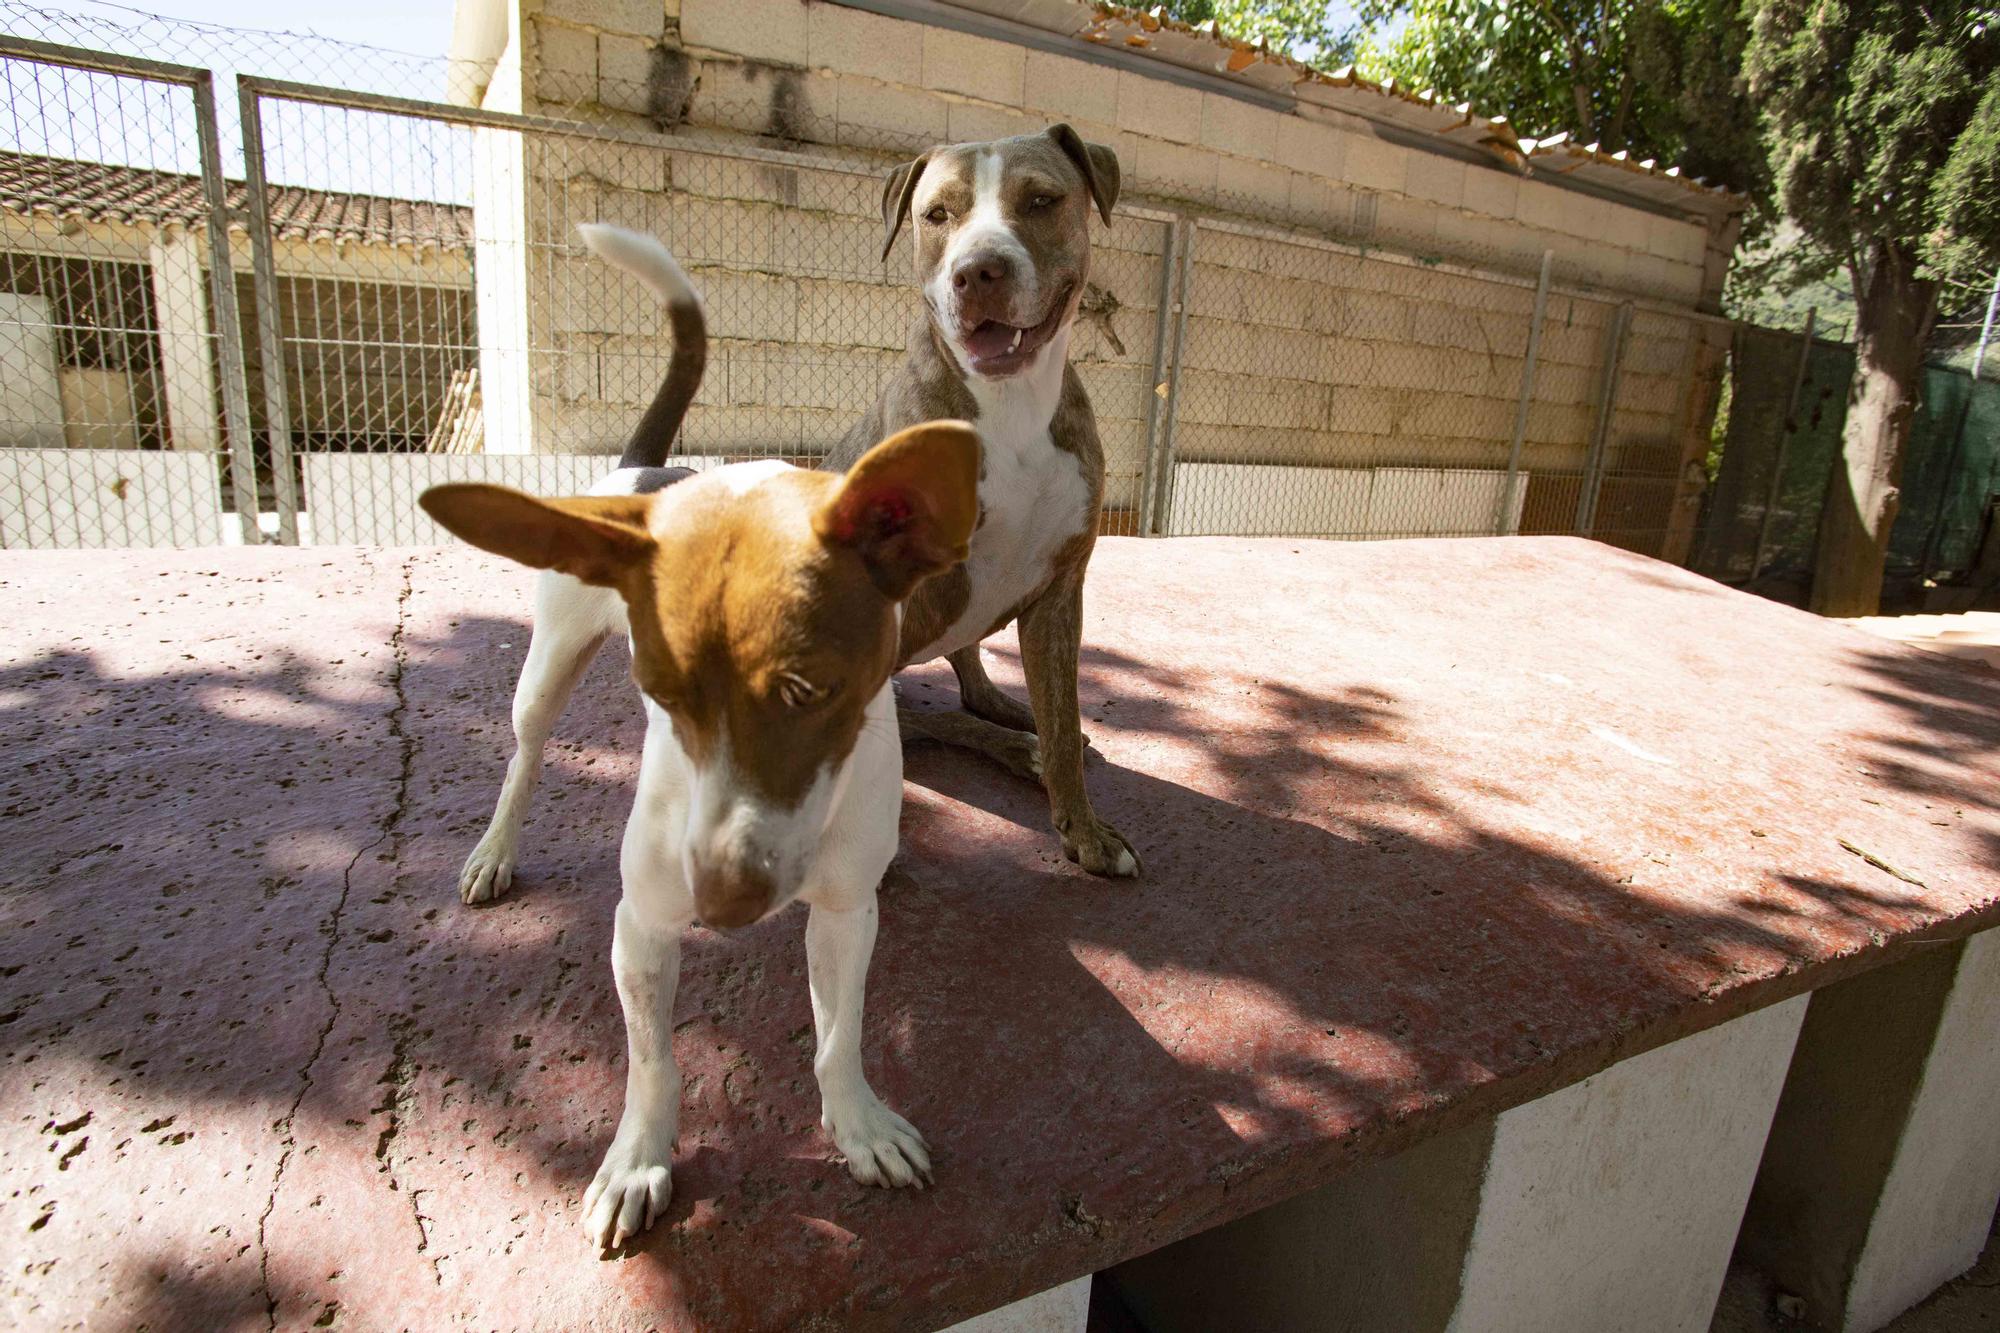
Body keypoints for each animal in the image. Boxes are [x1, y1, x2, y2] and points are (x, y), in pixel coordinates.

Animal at [458, 124, 1144, 904]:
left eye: (1041, 201)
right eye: (937, 215)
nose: (979, 272)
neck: (1013, 412)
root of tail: (644, 472)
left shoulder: (1061, 593)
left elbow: (1062, 728)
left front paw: (1083, 828)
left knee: (960, 701)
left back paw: (1009, 729)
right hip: (552, 657)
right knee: (526, 748)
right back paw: (494, 850)